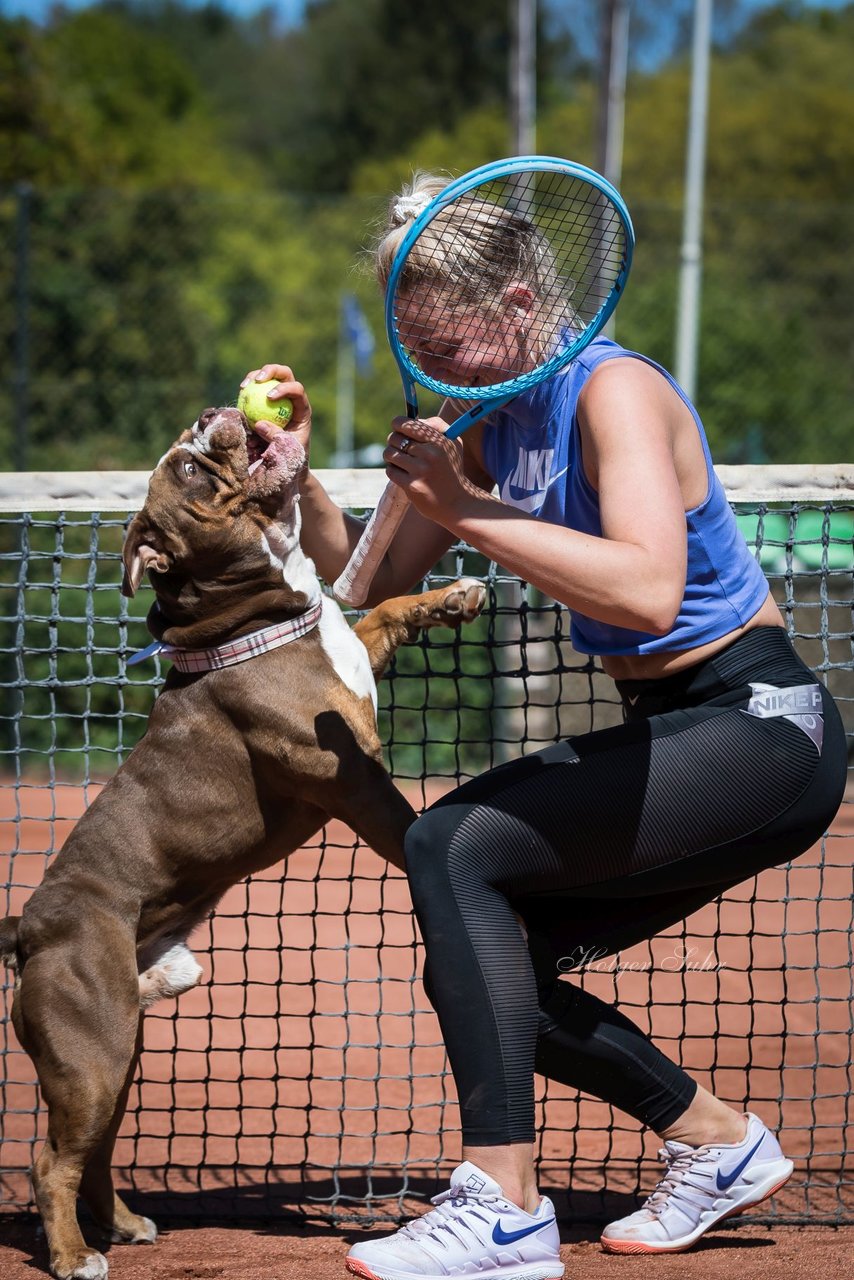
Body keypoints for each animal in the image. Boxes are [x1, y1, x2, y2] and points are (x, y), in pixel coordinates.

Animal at [0, 407, 481, 1280]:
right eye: (188, 471)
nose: (207, 418)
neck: (258, 605)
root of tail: (28, 928)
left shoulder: (353, 655)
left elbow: (380, 610)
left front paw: (453, 597)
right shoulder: (349, 775)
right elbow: (404, 823)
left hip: (117, 1050)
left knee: (93, 1148)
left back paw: (121, 1225)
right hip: (89, 1051)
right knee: (51, 1159)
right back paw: (75, 1256)